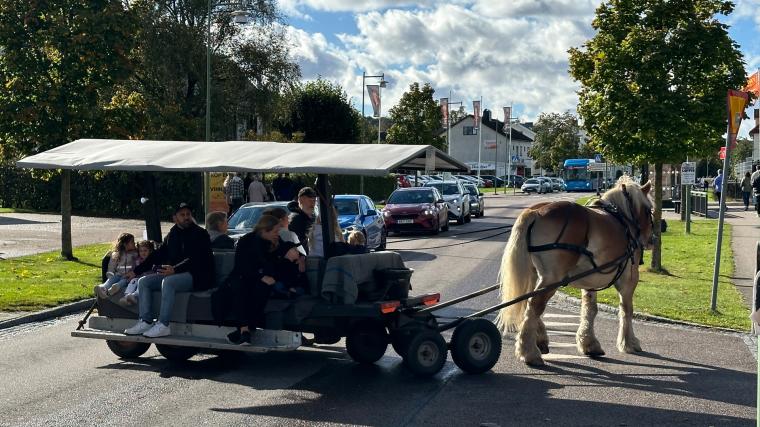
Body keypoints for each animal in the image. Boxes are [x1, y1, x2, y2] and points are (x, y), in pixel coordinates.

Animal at [492, 177, 652, 368]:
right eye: (649, 210)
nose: (651, 239)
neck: (623, 221)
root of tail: (535, 212)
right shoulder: (629, 279)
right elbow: (626, 310)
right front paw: (629, 342)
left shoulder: (590, 281)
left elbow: (590, 309)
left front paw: (589, 343)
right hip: (552, 278)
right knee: (534, 304)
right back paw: (528, 352)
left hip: (534, 274)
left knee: (527, 301)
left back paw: (539, 339)